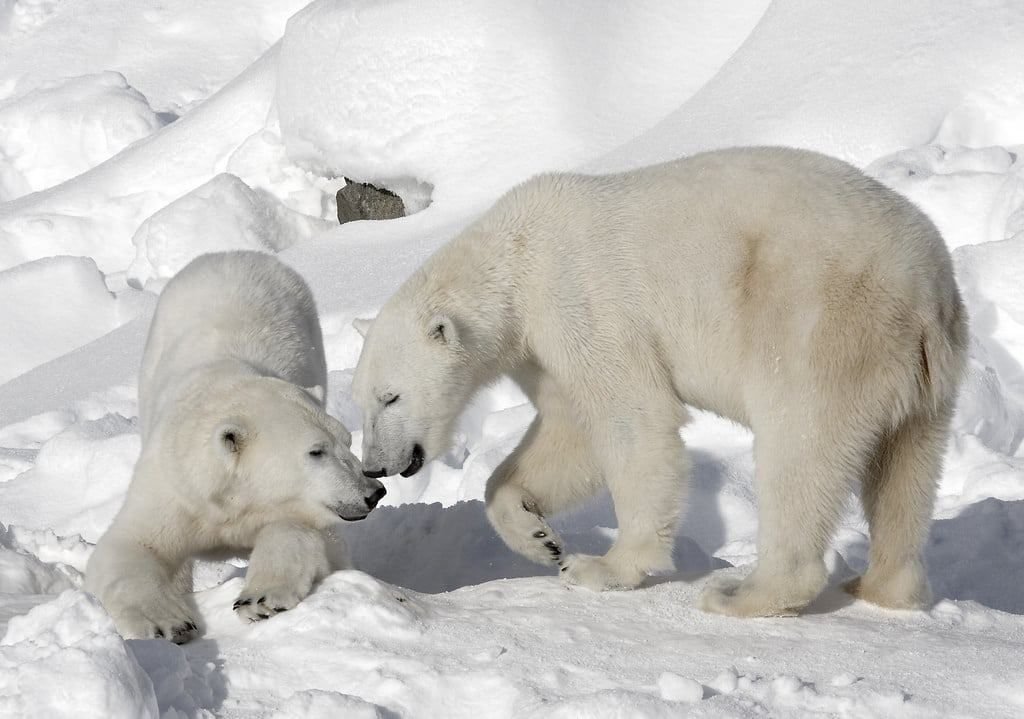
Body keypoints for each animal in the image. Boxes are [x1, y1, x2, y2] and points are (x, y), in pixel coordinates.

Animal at [84, 251, 385, 643]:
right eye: (316, 451)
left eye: (348, 442)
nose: (373, 491)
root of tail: (234, 254)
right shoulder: (177, 487)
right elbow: (129, 546)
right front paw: (169, 622)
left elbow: (305, 536)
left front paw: (259, 599)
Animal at [352, 146, 966, 618]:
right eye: (363, 403)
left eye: (391, 396)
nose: (375, 466)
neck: (515, 257)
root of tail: (924, 289)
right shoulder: (542, 350)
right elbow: (569, 433)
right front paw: (539, 537)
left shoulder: (580, 302)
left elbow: (633, 418)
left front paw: (601, 567)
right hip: (924, 375)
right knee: (904, 468)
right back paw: (881, 585)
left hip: (819, 327)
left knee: (801, 449)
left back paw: (743, 594)